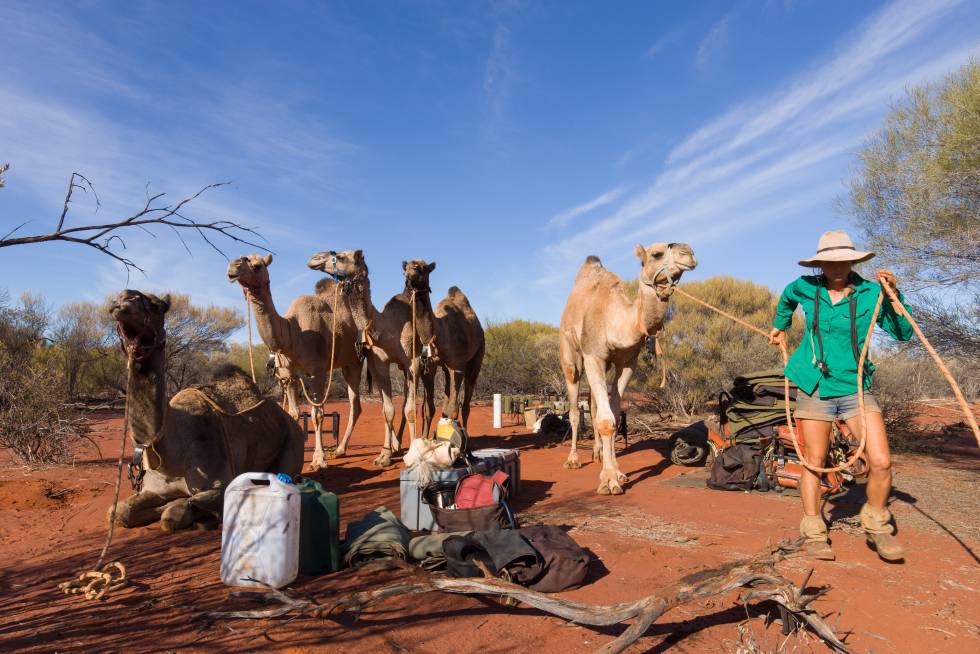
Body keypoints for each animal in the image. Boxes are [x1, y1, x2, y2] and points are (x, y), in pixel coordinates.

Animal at [109, 290, 304, 532]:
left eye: (156, 306)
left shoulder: (220, 483)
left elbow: (173, 514)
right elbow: (120, 511)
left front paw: (193, 512)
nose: (124, 299)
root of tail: (291, 421)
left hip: (291, 448)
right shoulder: (154, 489)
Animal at [228, 254, 384, 474]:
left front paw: (319, 460)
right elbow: (293, 413)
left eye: (257, 266)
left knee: (358, 403)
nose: (232, 267)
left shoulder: (316, 372)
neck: (294, 333)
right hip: (347, 363)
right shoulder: (288, 375)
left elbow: (317, 414)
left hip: (356, 360)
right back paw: (340, 450)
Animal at [306, 251, 436, 456]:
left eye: (341, 256)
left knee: (427, 405)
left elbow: (410, 410)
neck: (386, 329)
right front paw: (385, 454)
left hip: (428, 365)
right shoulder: (379, 362)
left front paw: (410, 451)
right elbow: (387, 409)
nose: (315, 258)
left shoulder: (412, 361)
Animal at [434, 288, 484, 434]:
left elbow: (454, 408)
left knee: (466, 401)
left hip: (478, 355)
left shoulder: (458, 366)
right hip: (447, 369)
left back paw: (466, 433)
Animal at [560, 243, 696, 494]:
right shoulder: (593, 356)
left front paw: (618, 473)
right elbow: (606, 421)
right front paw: (609, 481)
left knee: (592, 404)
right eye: (656, 254)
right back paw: (573, 460)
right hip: (570, 355)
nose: (688, 252)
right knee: (574, 408)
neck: (616, 321)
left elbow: (613, 416)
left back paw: (598, 453)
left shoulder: (627, 363)